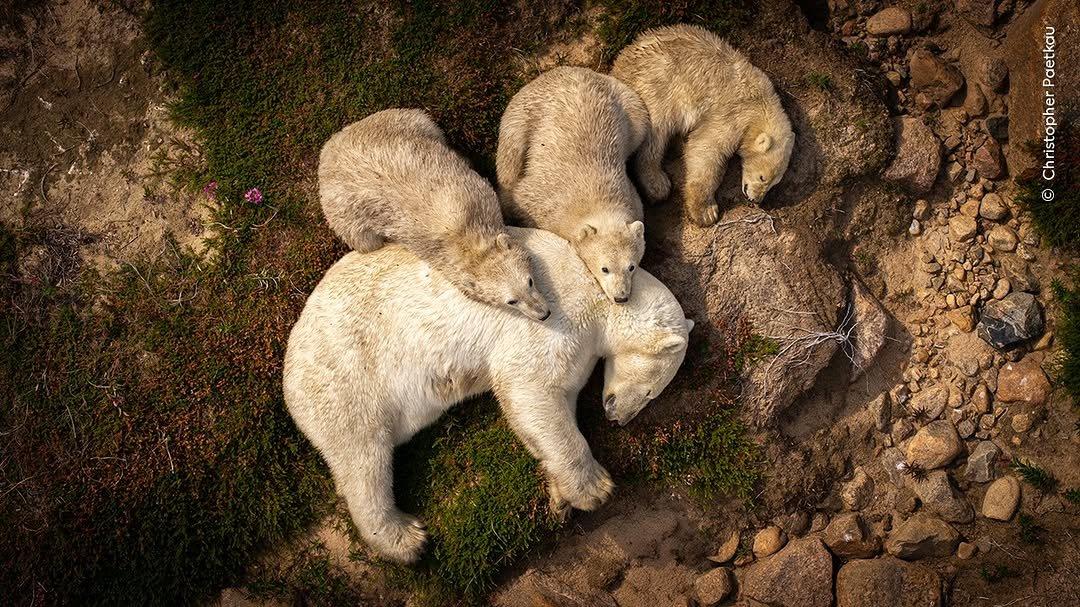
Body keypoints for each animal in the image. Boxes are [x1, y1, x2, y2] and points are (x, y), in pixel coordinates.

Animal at [283, 227, 693, 563]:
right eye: (652, 391)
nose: (619, 418)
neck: (598, 289)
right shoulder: (557, 315)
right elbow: (529, 387)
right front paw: (593, 489)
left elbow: (547, 410)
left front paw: (558, 496)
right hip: (347, 377)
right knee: (363, 457)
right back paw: (405, 538)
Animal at [318, 108, 550, 321]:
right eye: (511, 301)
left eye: (529, 282)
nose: (543, 314)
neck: (464, 236)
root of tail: (328, 149)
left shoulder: (477, 191)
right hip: (343, 213)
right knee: (365, 241)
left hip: (397, 122)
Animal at [495, 66, 650, 304]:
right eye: (605, 268)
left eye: (631, 266)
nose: (621, 297)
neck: (596, 194)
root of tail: (571, 69)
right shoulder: (542, 199)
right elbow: (518, 198)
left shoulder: (631, 195)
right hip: (523, 113)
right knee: (509, 157)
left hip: (629, 106)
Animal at [612, 24, 795, 226]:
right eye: (762, 177)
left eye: (774, 183)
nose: (755, 199)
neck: (760, 103)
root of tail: (618, 66)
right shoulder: (732, 114)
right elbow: (705, 149)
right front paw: (706, 211)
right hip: (655, 86)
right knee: (655, 134)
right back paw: (657, 183)